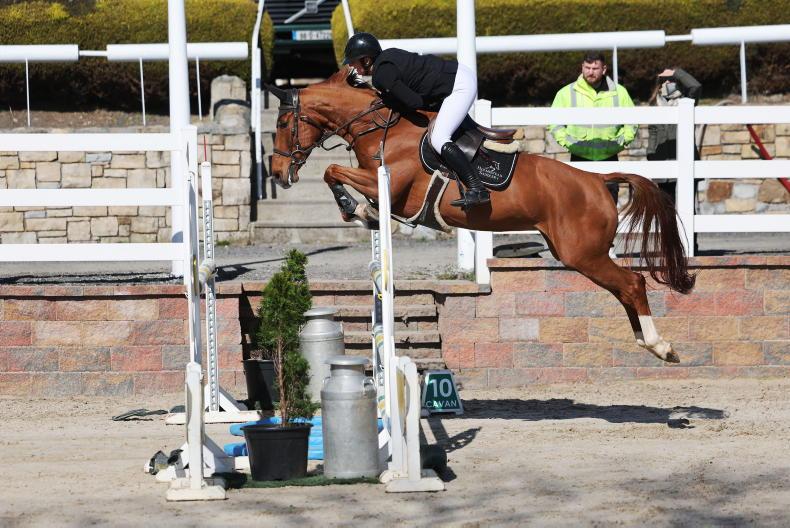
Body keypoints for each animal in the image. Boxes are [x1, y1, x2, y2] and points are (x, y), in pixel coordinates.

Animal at [266, 68, 696, 364]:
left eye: (284, 123)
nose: (278, 173)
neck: (380, 126)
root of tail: (597, 179)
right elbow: (334, 173)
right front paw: (364, 212)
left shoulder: (387, 183)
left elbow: (332, 171)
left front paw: (354, 208)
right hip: (577, 254)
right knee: (623, 289)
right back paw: (646, 342)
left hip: (582, 254)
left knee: (633, 284)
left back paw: (660, 345)